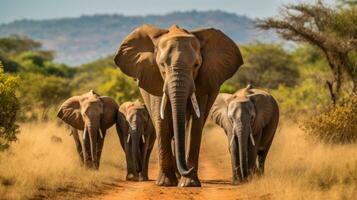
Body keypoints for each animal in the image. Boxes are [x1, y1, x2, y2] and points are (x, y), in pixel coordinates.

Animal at [114, 24, 242, 187]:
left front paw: (189, 183)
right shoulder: (155, 78)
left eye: (196, 65)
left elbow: (195, 123)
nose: (188, 169)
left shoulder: (202, 81)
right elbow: (161, 120)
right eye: (162, 65)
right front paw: (165, 183)